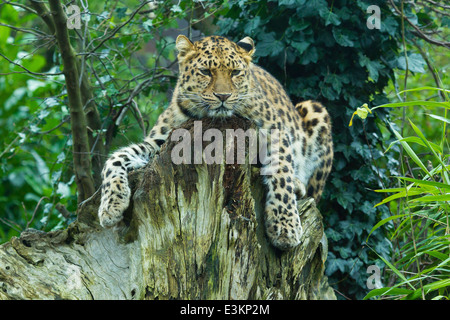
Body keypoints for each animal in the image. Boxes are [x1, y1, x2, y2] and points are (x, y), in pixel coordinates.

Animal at [98, 35, 332, 250]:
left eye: (235, 73)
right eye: (206, 72)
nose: (223, 96)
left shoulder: (277, 132)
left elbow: (282, 173)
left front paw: (285, 228)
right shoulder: (159, 143)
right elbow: (116, 158)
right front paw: (110, 206)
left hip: (315, 111)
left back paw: (299, 186)